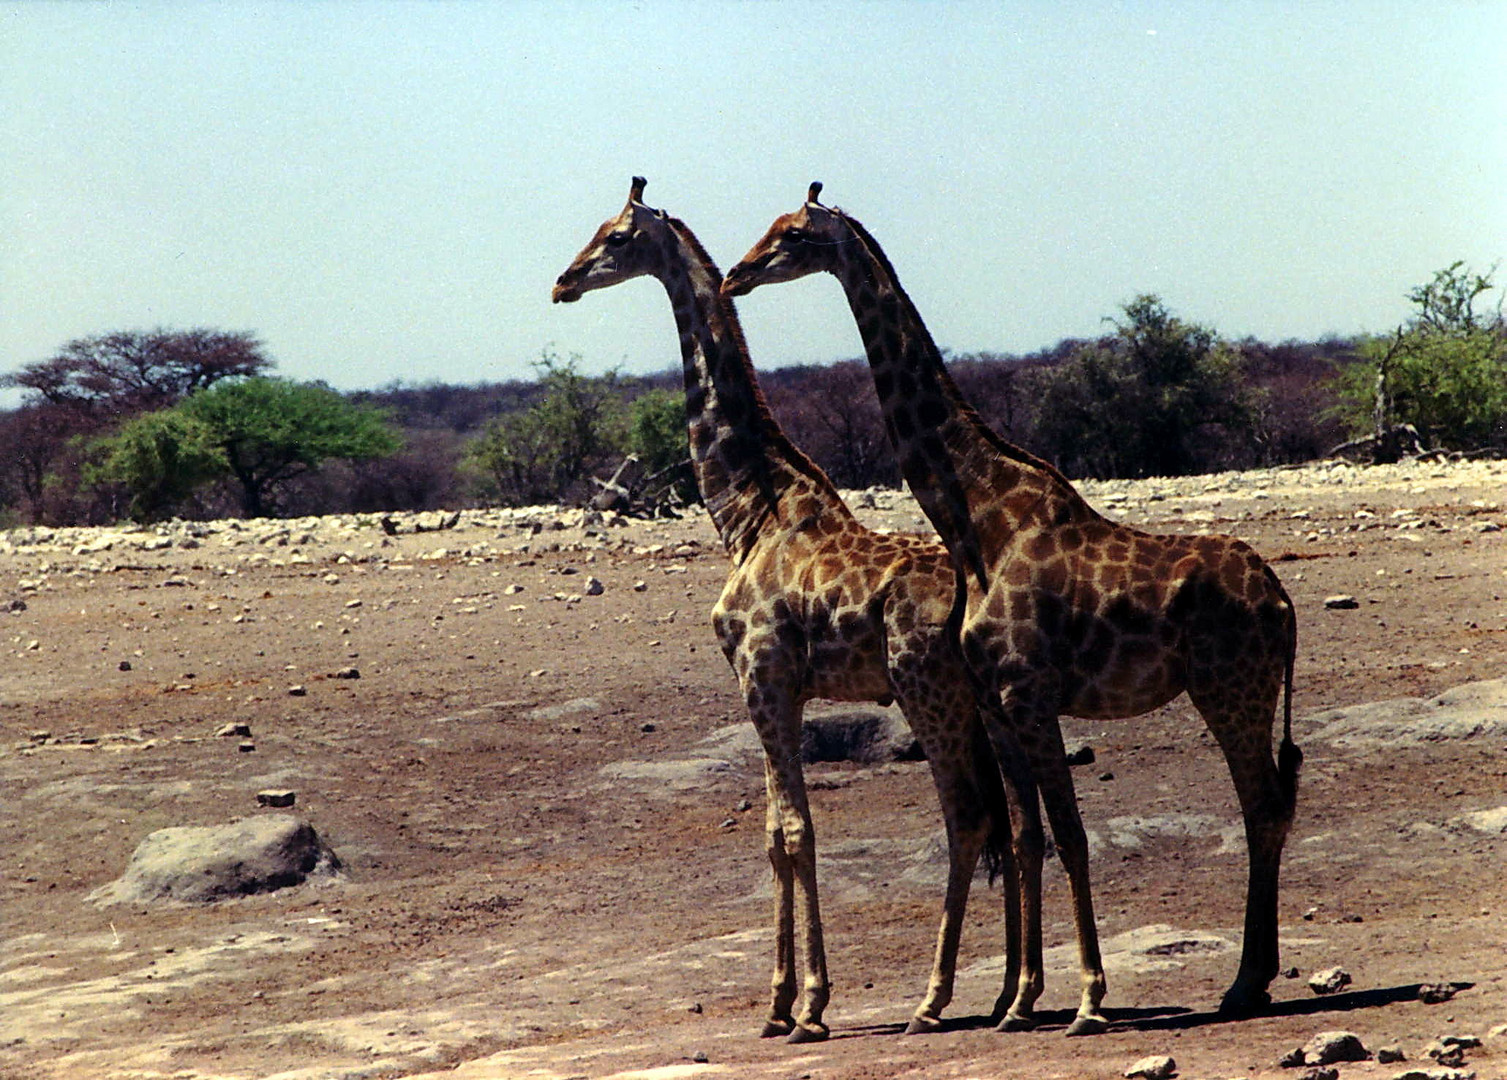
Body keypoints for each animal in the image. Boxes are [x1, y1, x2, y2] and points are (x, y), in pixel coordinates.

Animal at [554, 181, 1048, 1042]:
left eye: (615, 238)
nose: (562, 282)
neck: (747, 511)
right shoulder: (766, 686)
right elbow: (770, 838)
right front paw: (777, 1002)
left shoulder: (762, 673)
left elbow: (795, 831)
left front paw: (811, 1004)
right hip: (981, 705)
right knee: (1011, 821)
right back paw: (1004, 997)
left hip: (929, 694)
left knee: (967, 816)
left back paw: (935, 998)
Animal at [723, 185, 1302, 1036]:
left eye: (792, 235)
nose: (736, 273)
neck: (977, 518)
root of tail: (1282, 601)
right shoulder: (999, 699)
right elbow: (1033, 833)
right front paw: (1025, 998)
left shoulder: (1029, 693)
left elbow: (1068, 834)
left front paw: (1087, 1000)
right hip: (1235, 689)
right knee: (1271, 800)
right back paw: (1246, 980)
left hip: (1231, 688)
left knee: (1260, 803)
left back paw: (1241, 982)